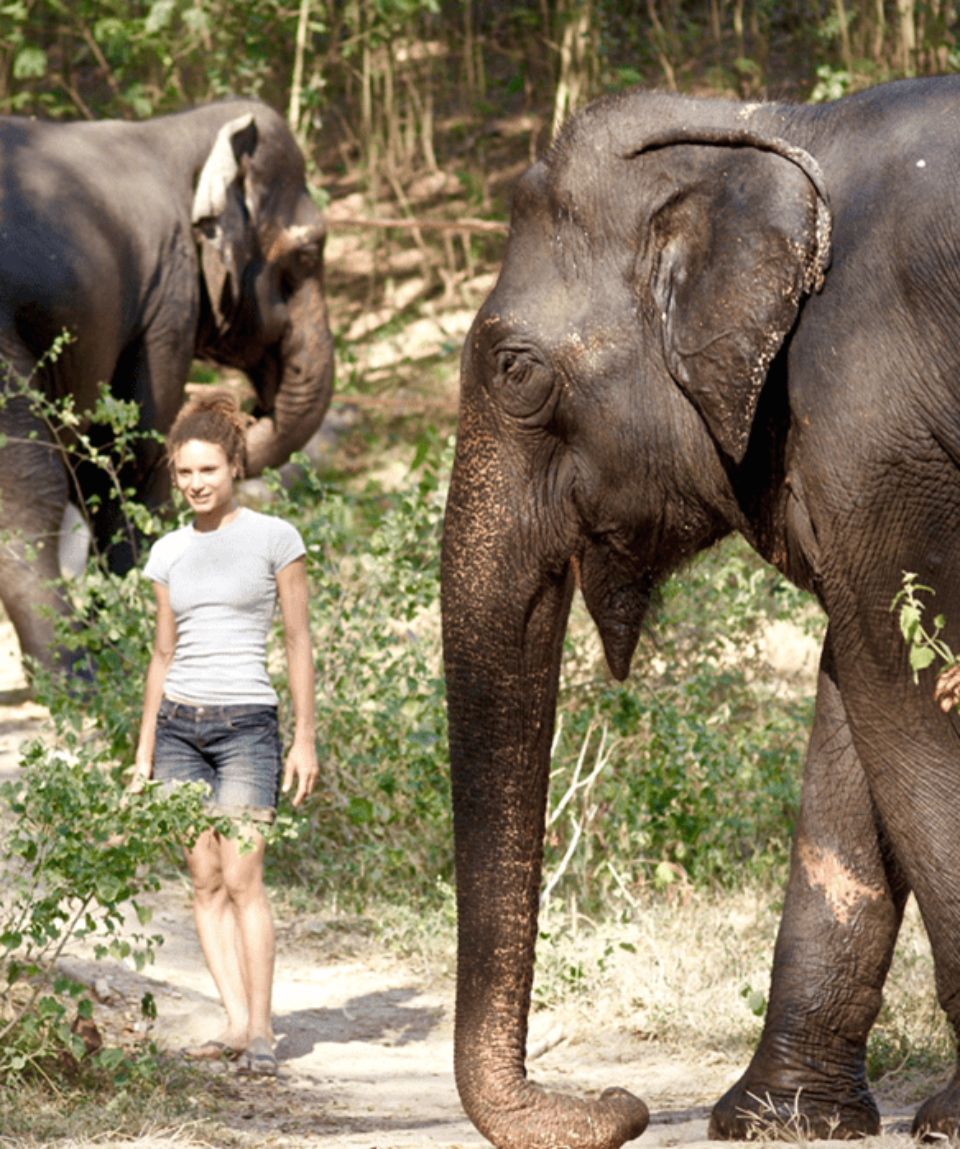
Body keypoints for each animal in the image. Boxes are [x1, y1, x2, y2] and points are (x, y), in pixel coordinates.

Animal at [0, 99, 333, 671]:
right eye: (308, 254)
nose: (249, 407)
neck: (174, 131)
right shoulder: (168, 298)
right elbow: (132, 457)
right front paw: (130, 630)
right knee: (27, 491)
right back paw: (77, 671)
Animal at [443, 74, 960, 1149]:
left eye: (514, 371)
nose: (618, 1103)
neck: (779, 128)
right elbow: (858, 704)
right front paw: (777, 1120)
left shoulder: (877, 424)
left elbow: (913, 698)